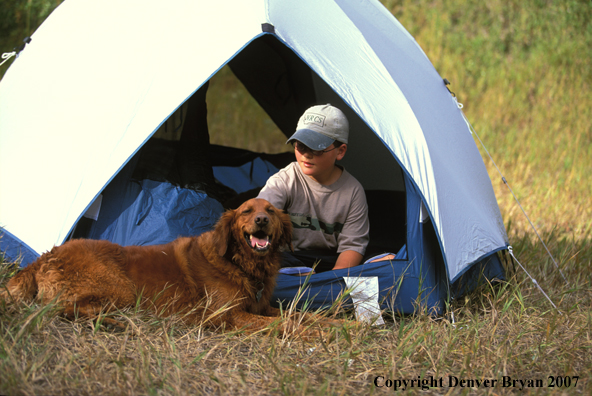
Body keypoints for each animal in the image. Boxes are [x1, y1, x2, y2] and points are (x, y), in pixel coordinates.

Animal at [1, 198, 338, 338]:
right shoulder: (225, 317)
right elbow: (287, 323)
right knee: (58, 310)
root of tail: (46, 256)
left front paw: (341, 326)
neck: (241, 265)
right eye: (246, 211)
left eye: (270, 211)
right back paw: (115, 324)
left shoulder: (260, 307)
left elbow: (300, 314)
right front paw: (315, 335)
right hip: (120, 288)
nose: (262, 220)